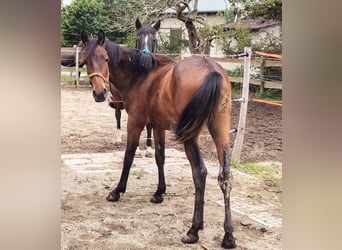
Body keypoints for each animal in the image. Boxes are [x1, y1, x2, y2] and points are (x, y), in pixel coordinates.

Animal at [79, 29, 236, 248]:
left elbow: (129, 156)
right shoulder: (158, 126)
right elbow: (160, 156)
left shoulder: (135, 123)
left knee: (200, 173)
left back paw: (193, 230)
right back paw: (228, 235)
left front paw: (117, 191)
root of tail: (211, 69)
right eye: (85, 61)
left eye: (106, 59)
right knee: (225, 177)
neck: (141, 75)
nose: (100, 93)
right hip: (220, 131)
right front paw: (159, 192)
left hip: (191, 137)